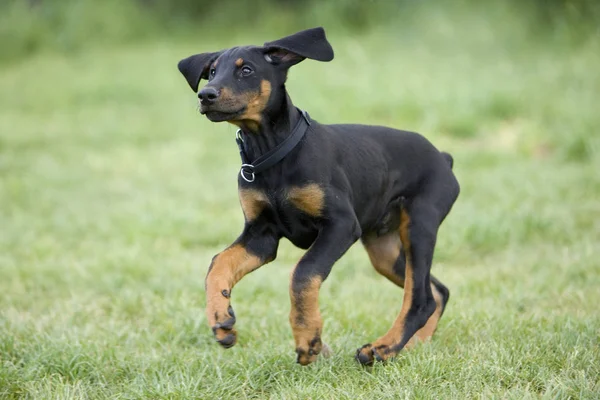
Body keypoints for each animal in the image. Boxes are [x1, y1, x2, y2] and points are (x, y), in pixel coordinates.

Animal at [177, 27, 460, 366]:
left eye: (246, 71)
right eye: (211, 72)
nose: (206, 95)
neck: (272, 153)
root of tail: (443, 158)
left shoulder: (341, 225)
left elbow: (303, 272)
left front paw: (308, 339)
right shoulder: (261, 235)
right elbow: (218, 263)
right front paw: (221, 319)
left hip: (419, 225)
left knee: (420, 298)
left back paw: (381, 349)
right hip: (384, 248)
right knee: (437, 291)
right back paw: (412, 345)